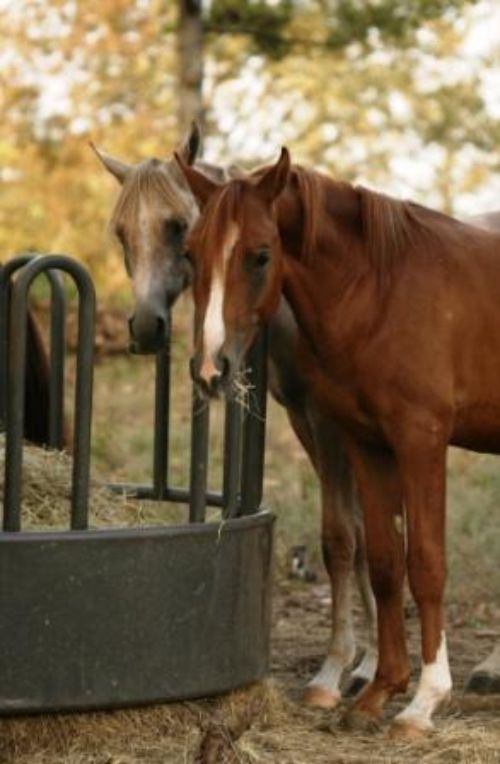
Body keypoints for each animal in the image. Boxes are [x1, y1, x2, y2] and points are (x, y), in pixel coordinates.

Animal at [178, 146, 500, 736]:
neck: (384, 291)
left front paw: (423, 702)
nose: (212, 368)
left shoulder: (420, 442)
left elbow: (425, 563)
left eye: (261, 255)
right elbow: (383, 560)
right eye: (191, 253)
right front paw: (379, 690)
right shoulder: (368, 445)